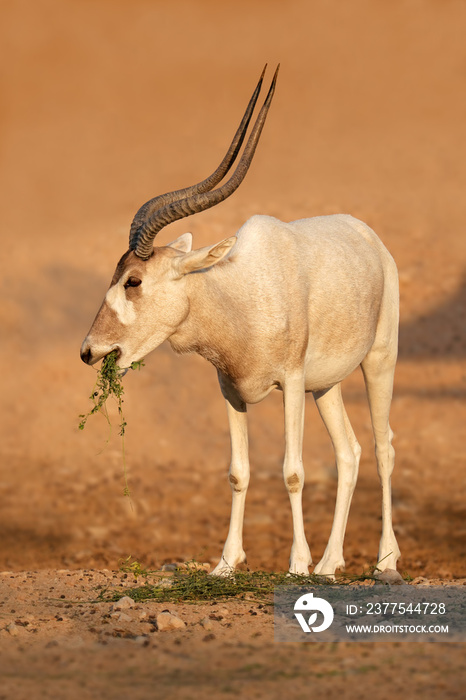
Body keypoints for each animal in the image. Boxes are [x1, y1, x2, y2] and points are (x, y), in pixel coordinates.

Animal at [81, 68, 400, 576]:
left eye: (133, 280)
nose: (90, 351)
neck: (236, 297)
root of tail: (368, 236)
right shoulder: (230, 390)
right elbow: (238, 472)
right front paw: (226, 563)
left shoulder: (290, 383)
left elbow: (292, 472)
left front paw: (296, 565)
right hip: (325, 387)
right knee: (348, 452)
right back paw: (330, 564)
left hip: (379, 361)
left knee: (382, 447)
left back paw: (385, 560)